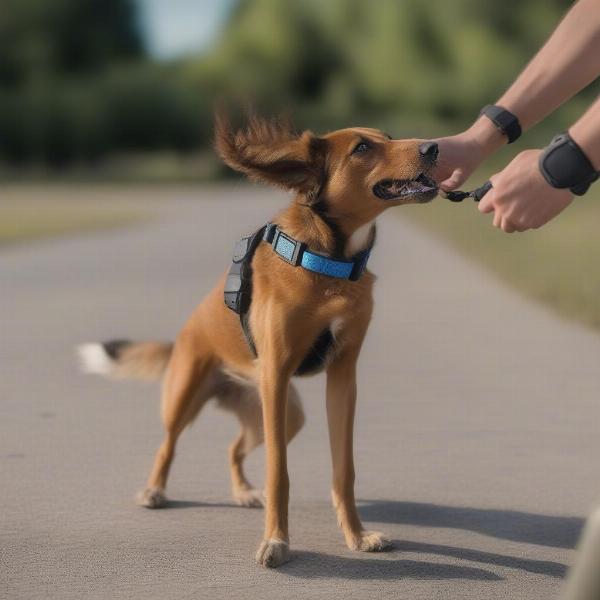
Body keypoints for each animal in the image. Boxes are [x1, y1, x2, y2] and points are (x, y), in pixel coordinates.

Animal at [77, 112, 438, 568]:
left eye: (388, 137)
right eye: (361, 148)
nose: (434, 147)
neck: (329, 262)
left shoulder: (342, 376)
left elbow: (344, 469)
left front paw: (356, 536)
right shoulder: (277, 375)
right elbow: (279, 472)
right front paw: (277, 542)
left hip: (282, 412)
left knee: (233, 448)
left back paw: (245, 492)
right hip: (187, 396)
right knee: (167, 445)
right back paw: (155, 490)